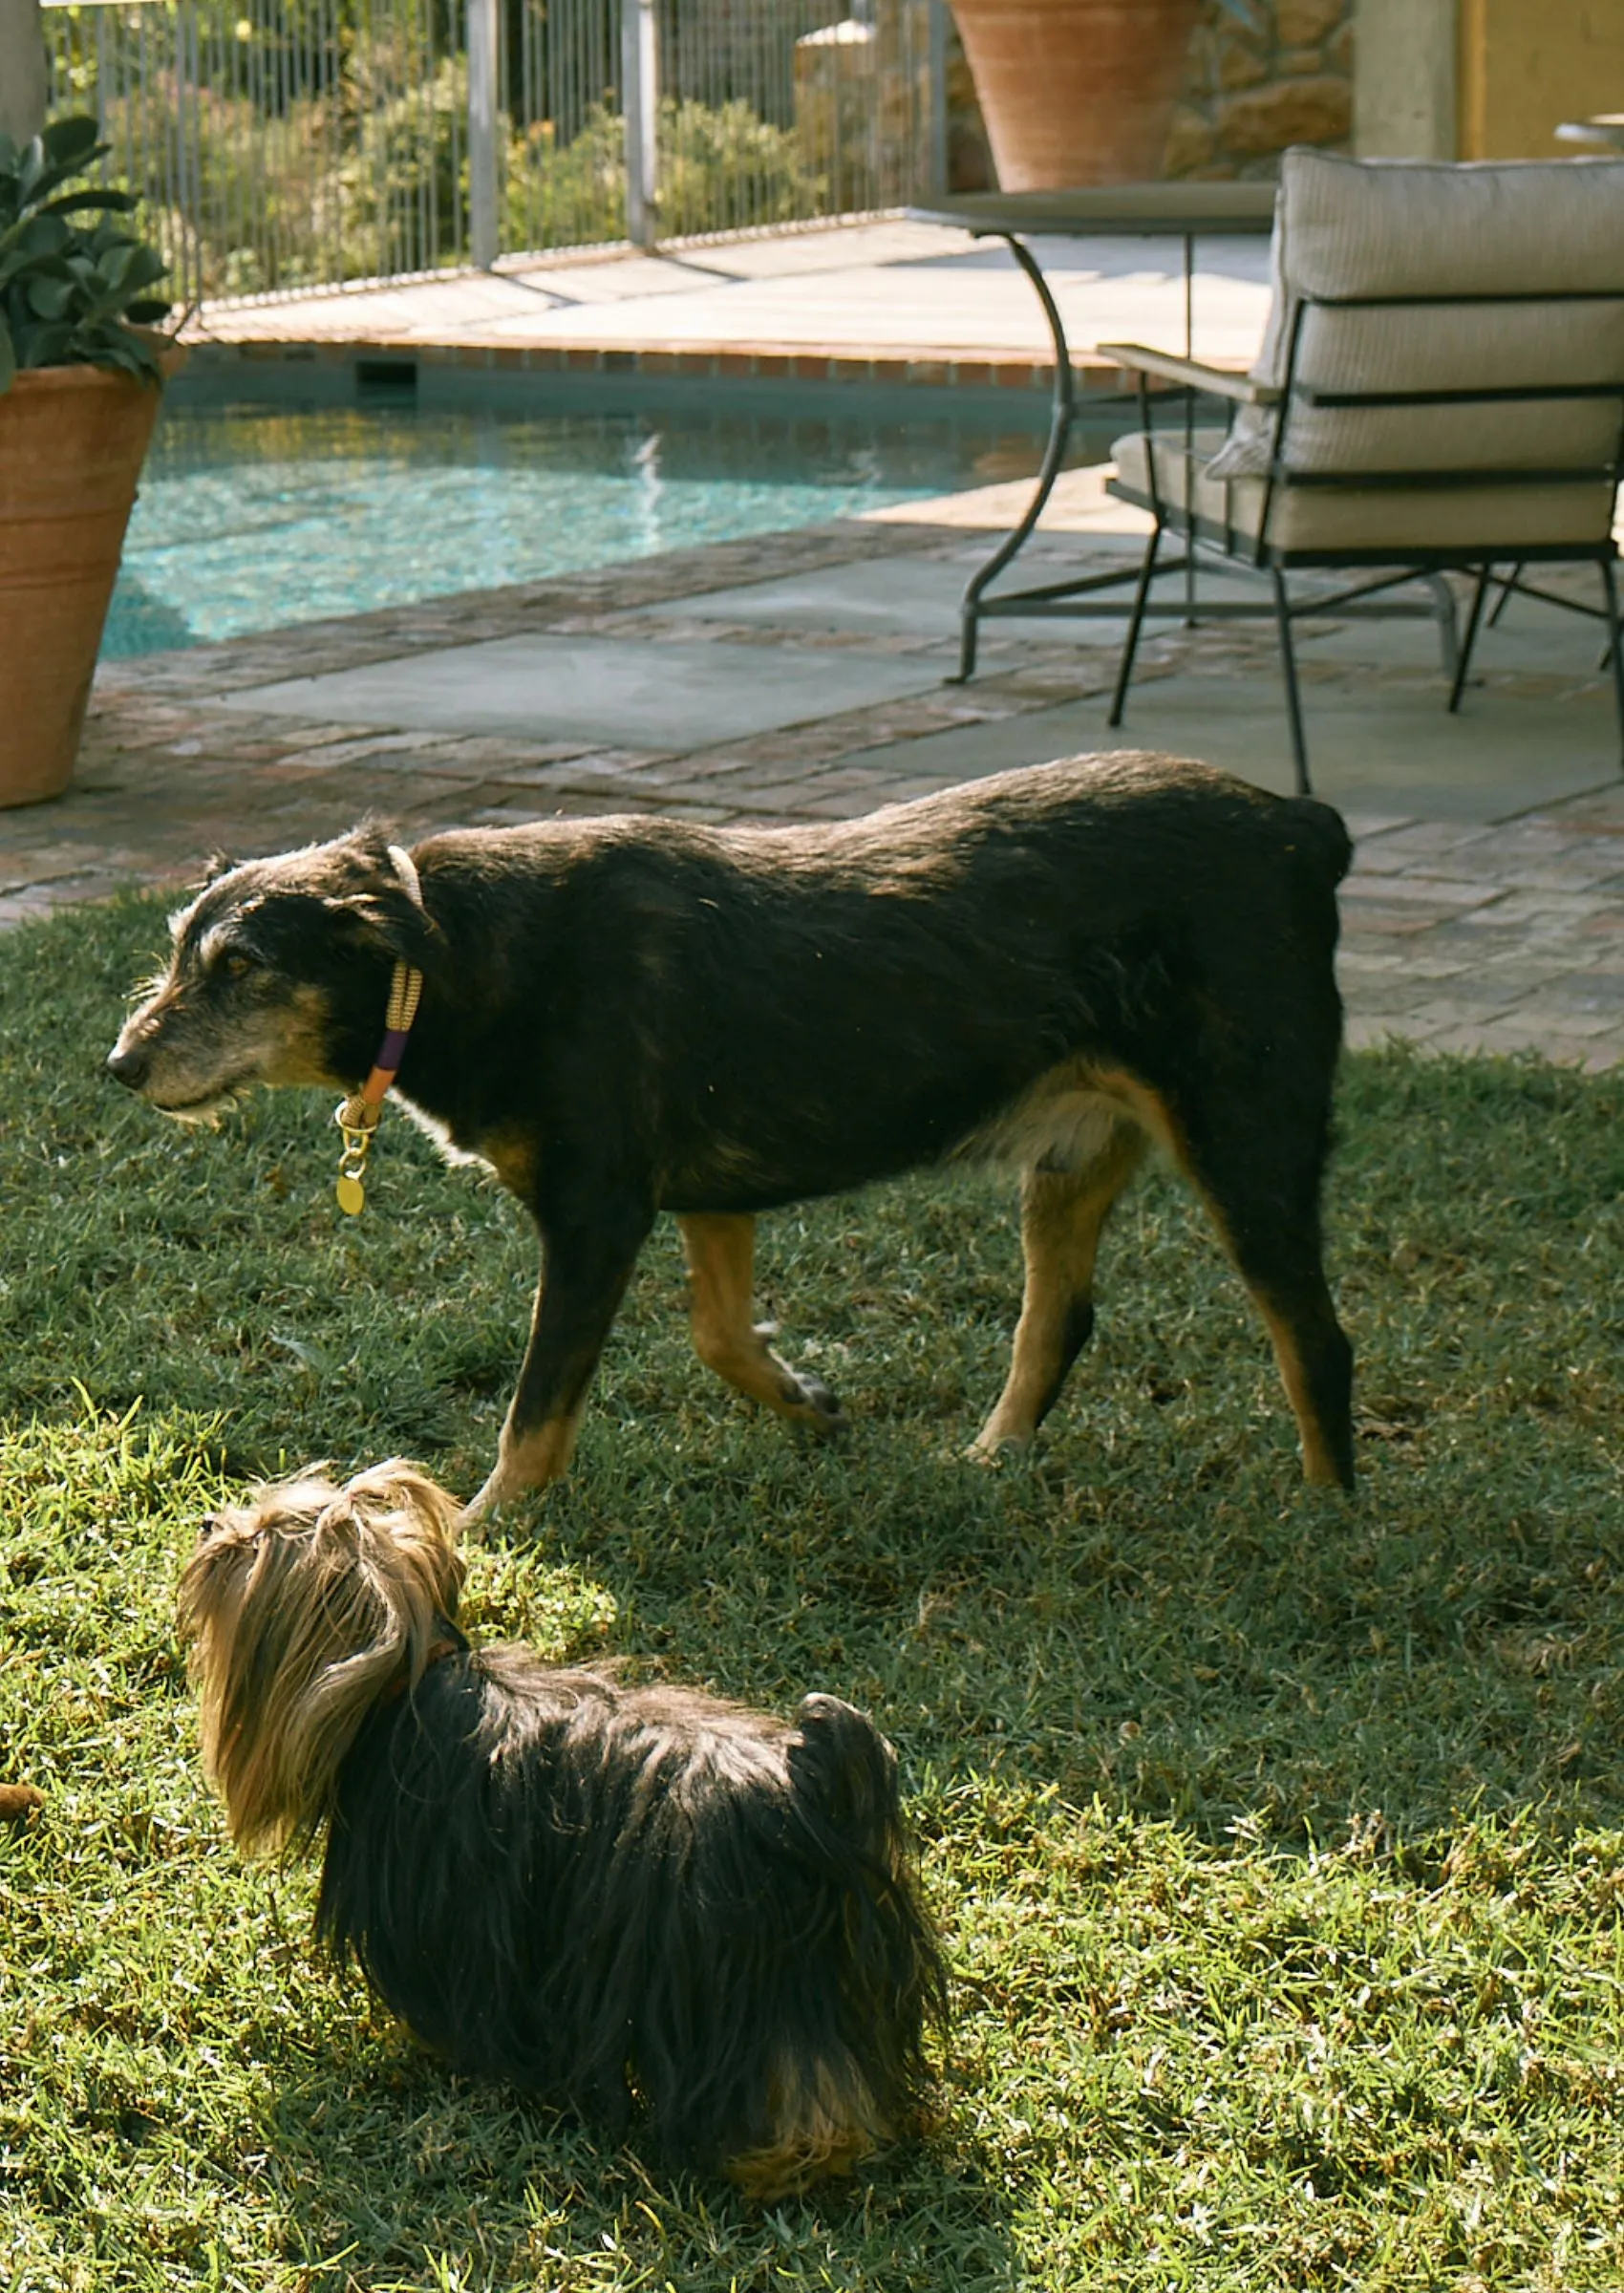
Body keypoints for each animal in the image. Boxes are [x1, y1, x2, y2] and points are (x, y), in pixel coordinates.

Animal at [107, 747, 1357, 1522]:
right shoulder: (706, 1195)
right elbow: (716, 1335)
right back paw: (990, 1460)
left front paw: (485, 1526)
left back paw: (1327, 1515)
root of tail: (1302, 826)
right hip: (1071, 1152)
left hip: (1246, 1131)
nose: (121, 1066)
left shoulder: (597, 1211)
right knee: (1055, 1321)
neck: (449, 955)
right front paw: (806, 1403)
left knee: (1313, 1338)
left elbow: (535, 1408)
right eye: (175, 950)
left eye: (240, 968)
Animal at [179, 1458, 945, 2192]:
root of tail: (808, 1778)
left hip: (737, 1968)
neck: (398, 1682)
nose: (210, 1524)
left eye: (256, 1540)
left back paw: (785, 2162)